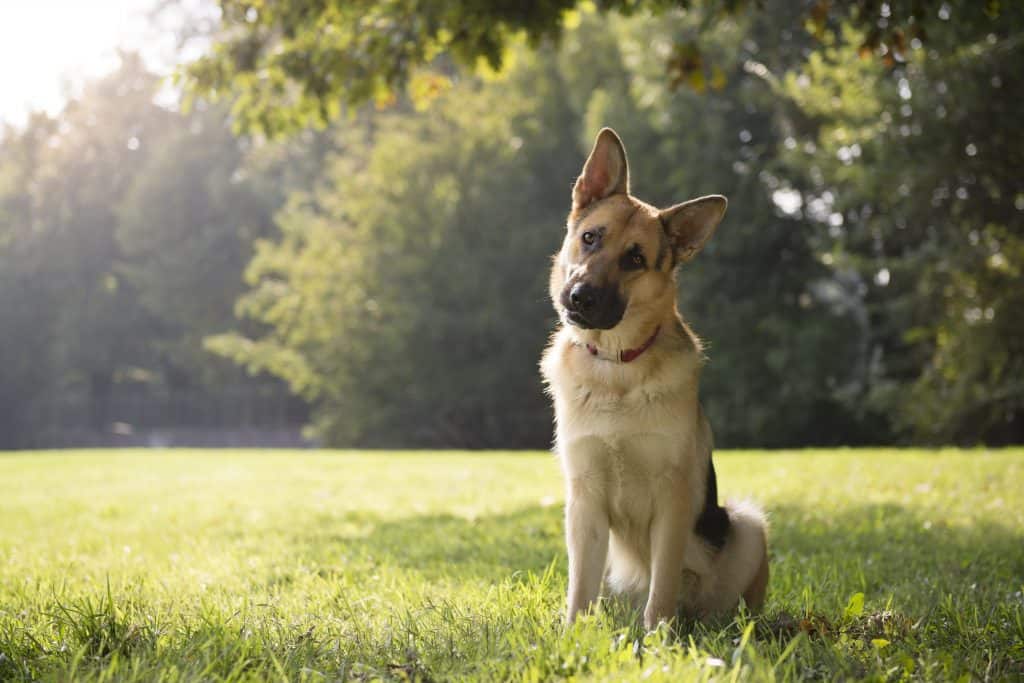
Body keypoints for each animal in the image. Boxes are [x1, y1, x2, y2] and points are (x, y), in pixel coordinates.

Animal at [544, 127, 770, 630]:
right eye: (590, 238)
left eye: (634, 259)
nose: (580, 297)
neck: (616, 367)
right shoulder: (584, 503)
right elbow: (579, 589)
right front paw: (572, 635)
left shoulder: (673, 500)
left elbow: (662, 585)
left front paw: (659, 638)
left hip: (746, 524)